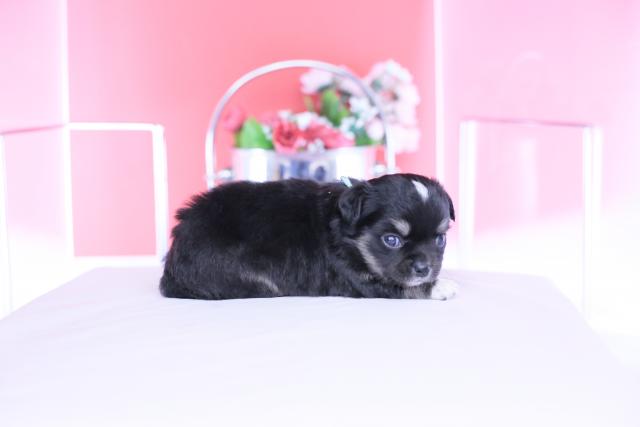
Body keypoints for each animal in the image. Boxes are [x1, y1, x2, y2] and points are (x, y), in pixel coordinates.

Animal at [160, 173, 458, 300]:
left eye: (440, 239)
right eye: (391, 240)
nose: (424, 269)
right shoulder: (358, 279)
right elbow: (405, 287)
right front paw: (443, 286)